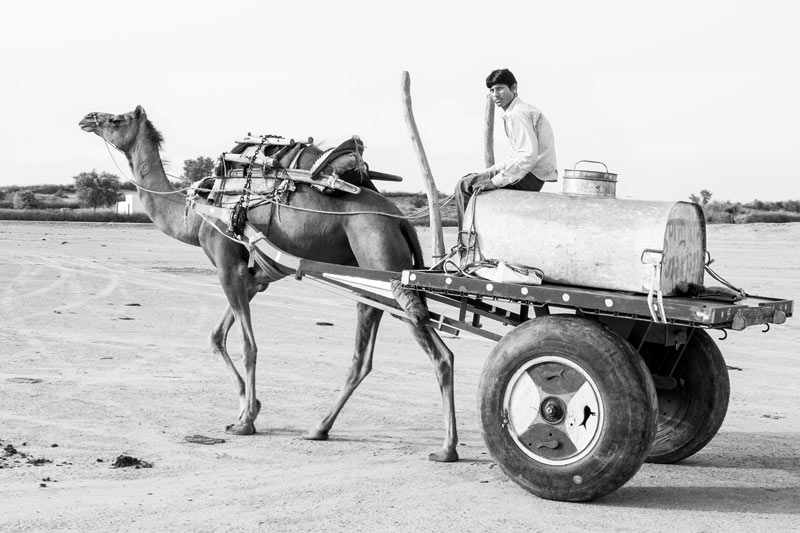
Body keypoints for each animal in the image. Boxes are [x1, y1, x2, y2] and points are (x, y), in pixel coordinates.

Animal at [79, 106, 458, 462]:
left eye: (116, 119)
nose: (86, 119)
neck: (198, 212)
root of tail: (401, 221)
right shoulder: (253, 278)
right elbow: (216, 337)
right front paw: (248, 408)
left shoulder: (227, 265)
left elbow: (248, 346)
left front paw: (246, 421)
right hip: (372, 279)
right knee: (364, 358)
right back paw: (319, 428)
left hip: (383, 260)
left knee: (438, 353)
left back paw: (446, 448)